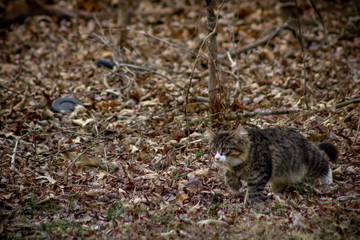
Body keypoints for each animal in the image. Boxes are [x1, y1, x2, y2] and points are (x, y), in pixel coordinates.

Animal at [205, 125, 338, 204]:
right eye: (213, 150)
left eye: (225, 150)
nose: (216, 158)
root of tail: (306, 140)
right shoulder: (232, 170)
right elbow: (228, 176)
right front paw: (237, 188)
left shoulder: (260, 175)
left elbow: (253, 193)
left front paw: (247, 206)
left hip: (310, 161)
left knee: (324, 164)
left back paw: (327, 183)